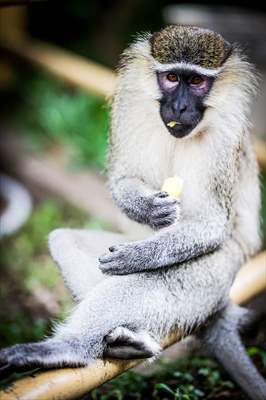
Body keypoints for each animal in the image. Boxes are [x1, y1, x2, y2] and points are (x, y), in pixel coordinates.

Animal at [0, 26, 264, 398]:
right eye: (171, 78)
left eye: (197, 81)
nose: (180, 106)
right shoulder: (129, 106)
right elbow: (123, 178)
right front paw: (147, 209)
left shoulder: (225, 139)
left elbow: (211, 222)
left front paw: (138, 256)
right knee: (63, 240)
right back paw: (127, 343)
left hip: (216, 275)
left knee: (151, 278)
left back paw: (71, 348)